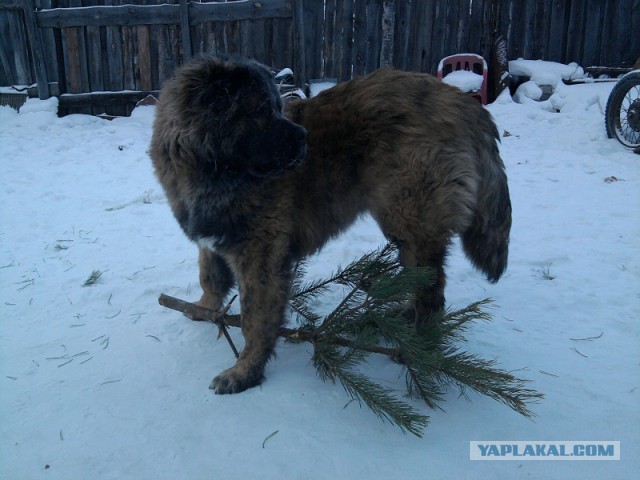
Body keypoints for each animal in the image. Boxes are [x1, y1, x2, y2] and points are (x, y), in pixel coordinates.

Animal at [149, 55, 510, 394]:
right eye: (263, 109)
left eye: (276, 106)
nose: (305, 138)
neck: (211, 172)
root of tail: (461, 101)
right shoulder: (212, 237)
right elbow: (210, 276)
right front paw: (205, 309)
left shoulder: (261, 256)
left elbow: (255, 317)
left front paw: (244, 372)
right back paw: (403, 319)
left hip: (411, 221)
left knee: (431, 292)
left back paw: (417, 347)